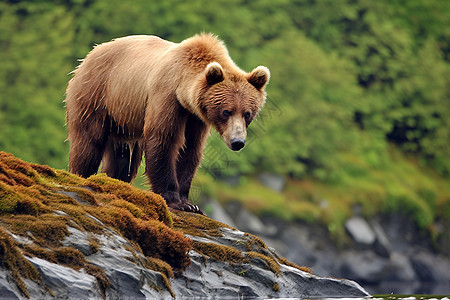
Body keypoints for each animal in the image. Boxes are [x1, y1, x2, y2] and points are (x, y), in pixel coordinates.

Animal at [64, 34, 268, 214]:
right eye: (226, 111)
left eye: (247, 113)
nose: (237, 142)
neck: (184, 93)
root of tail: (89, 54)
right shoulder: (166, 96)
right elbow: (163, 140)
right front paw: (174, 200)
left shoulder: (195, 117)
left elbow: (190, 149)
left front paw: (190, 204)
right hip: (96, 95)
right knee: (89, 142)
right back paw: (82, 175)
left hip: (123, 119)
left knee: (123, 157)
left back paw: (114, 180)